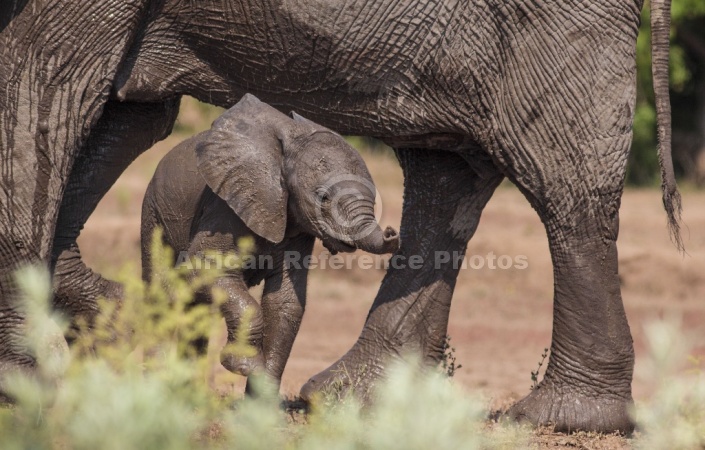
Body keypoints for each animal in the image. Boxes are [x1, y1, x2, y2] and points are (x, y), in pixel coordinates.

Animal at [140, 94, 398, 390]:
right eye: (323, 198)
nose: (392, 232)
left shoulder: (297, 228)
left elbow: (284, 302)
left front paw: (262, 393)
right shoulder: (224, 206)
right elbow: (202, 269)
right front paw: (244, 366)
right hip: (154, 214)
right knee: (163, 298)